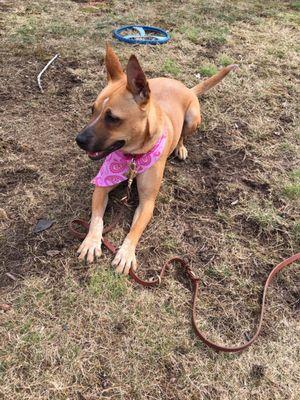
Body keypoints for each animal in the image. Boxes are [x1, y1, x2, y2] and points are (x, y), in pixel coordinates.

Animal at [75, 44, 237, 276]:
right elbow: (96, 218)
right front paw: (91, 241)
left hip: (192, 118)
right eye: (92, 109)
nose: (79, 140)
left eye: (112, 118)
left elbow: (135, 229)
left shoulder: (147, 202)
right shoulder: (101, 187)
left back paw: (180, 147)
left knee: (183, 135)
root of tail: (187, 88)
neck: (133, 157)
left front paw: (126, 253)